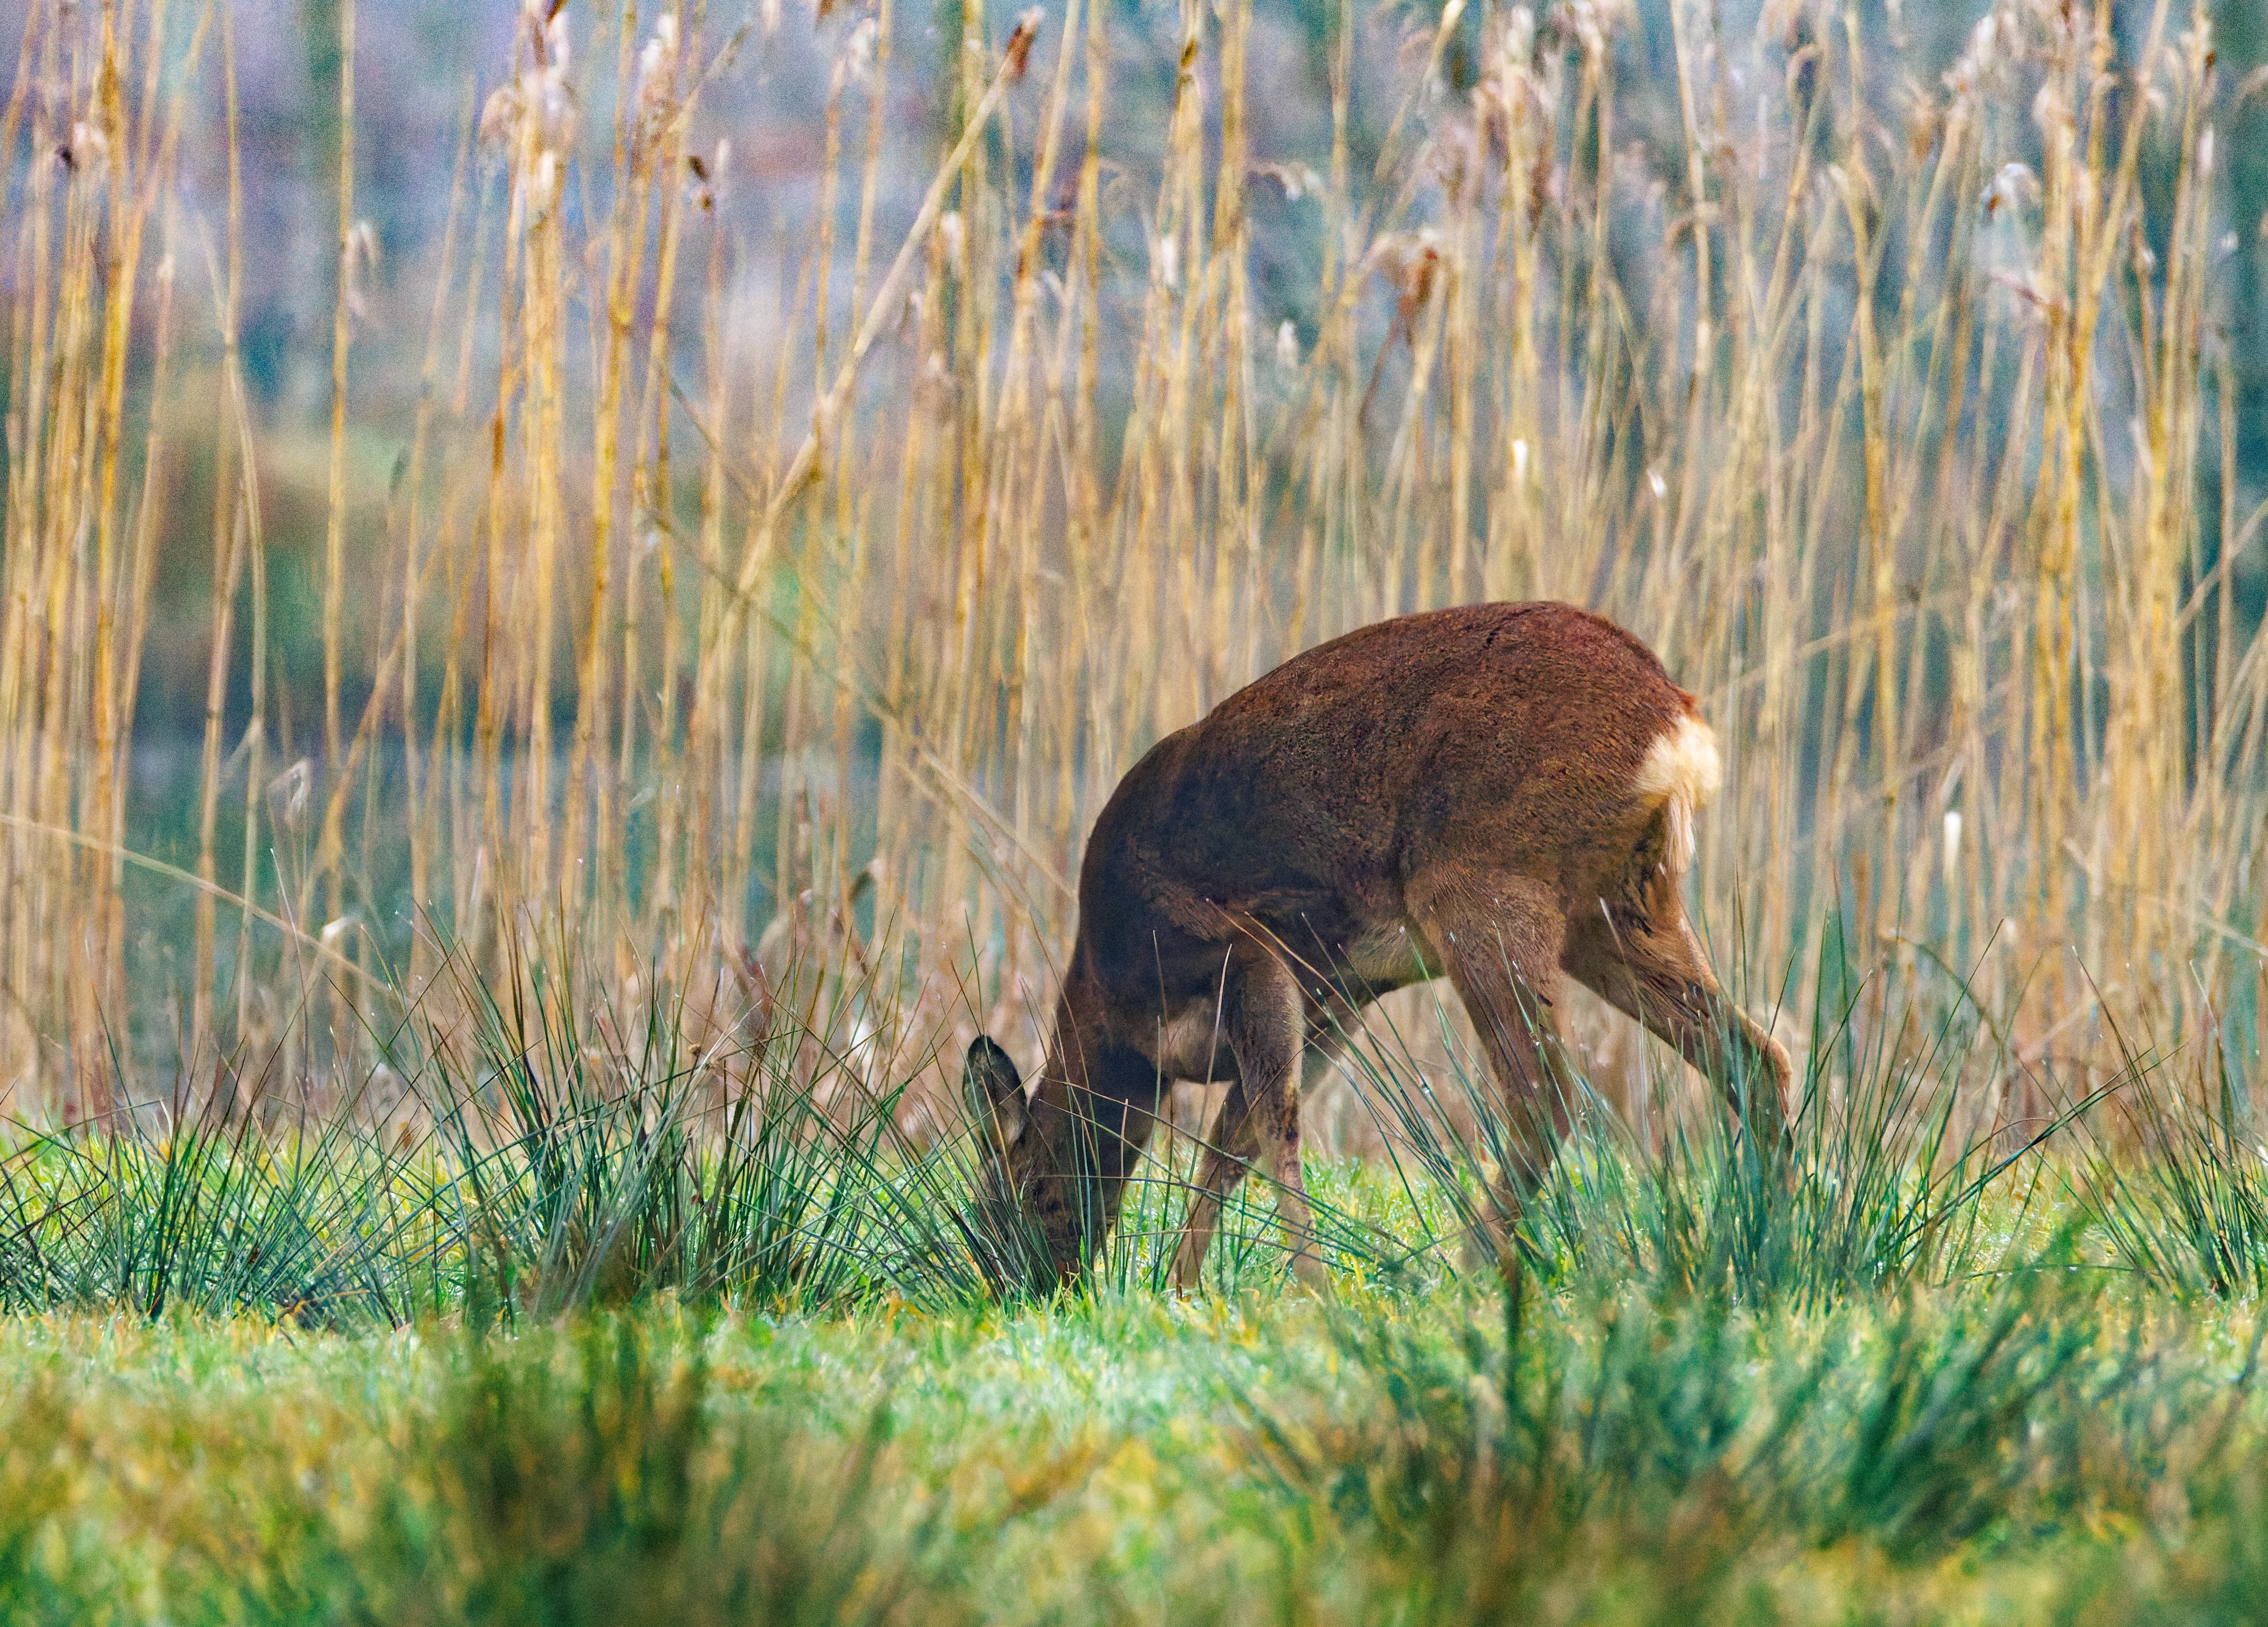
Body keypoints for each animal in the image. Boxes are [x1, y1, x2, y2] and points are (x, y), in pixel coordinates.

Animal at [961, 601, 1793, 1291]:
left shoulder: (1238, 947)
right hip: (1618, 909)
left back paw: (1465, 1270)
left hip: (1481, 882)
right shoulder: (1341, 988)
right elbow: (1235, 1139)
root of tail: (1677, 722)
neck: (1117, 1007)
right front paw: (1183, 1286)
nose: (1025, 1287)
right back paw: (1762, 1249)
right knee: (1755, 1055)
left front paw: (1302, 1290)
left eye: (1017, 1195)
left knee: (1547, 1092)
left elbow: (1269, 1124)